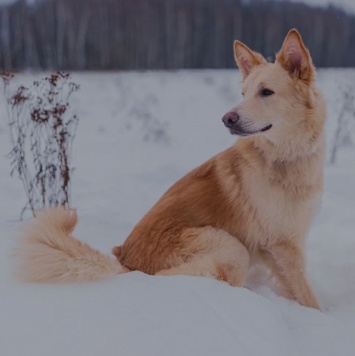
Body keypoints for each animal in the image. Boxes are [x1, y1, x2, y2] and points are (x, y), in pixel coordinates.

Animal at [16, 29, 328, 310]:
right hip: (231, 248)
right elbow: (309, 299)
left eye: (266, 92)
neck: (284, 156)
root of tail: (126, 264)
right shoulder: (285, 247)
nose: (227, 119)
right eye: (243, 93)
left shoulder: (283, 247)